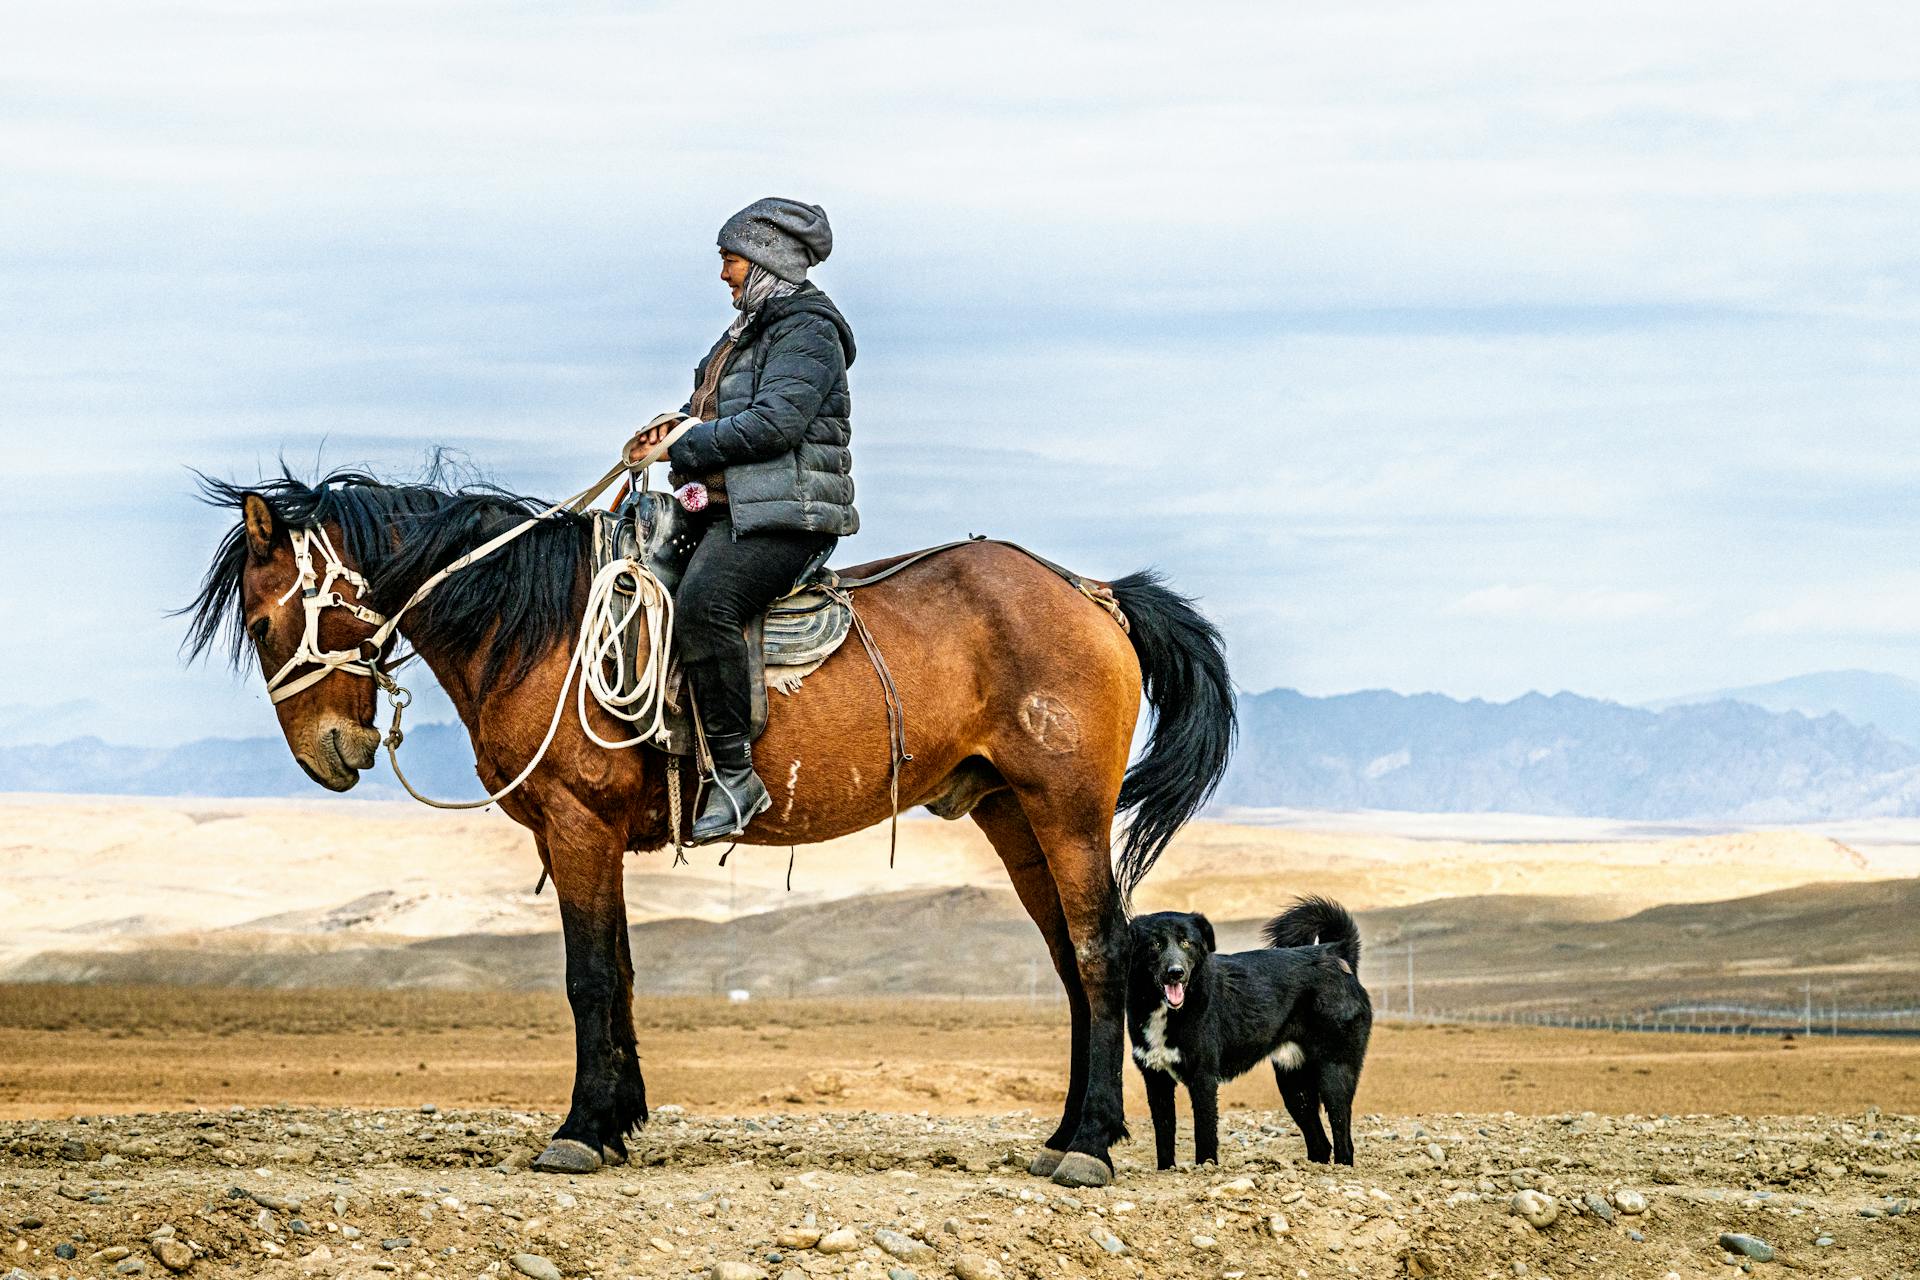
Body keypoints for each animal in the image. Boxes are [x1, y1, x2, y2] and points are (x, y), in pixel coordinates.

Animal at [187, 470, 1236, 1189]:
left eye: (266, 619)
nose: (331, 753)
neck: (542, 625)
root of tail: (1094, 593)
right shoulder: (579, 835)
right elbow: (618, 970)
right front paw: (617, 1121)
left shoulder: (575, 823)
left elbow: (588, 975)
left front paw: (578, 1131)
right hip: (1011, 814)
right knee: (1069, 959)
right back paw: (1065, 1134)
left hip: (1067, 810)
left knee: (1099, 952)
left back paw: (1091, 1145)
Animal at [1128, 898, 1374, 1166]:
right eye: (1155, 944)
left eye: (1186, 942)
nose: (1175, 972)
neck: (1168, 1010)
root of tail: (1337, 953)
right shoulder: (1156, 1079)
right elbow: (1163, 1136)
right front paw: (1167, 1170)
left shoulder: (1203, 1079)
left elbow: (1204, 1135)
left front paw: (1205, 1168)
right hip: (1293, 1083)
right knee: (1320, 1142)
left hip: (1334, 1072)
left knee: (1343, 1136)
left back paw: (1341, 1168)